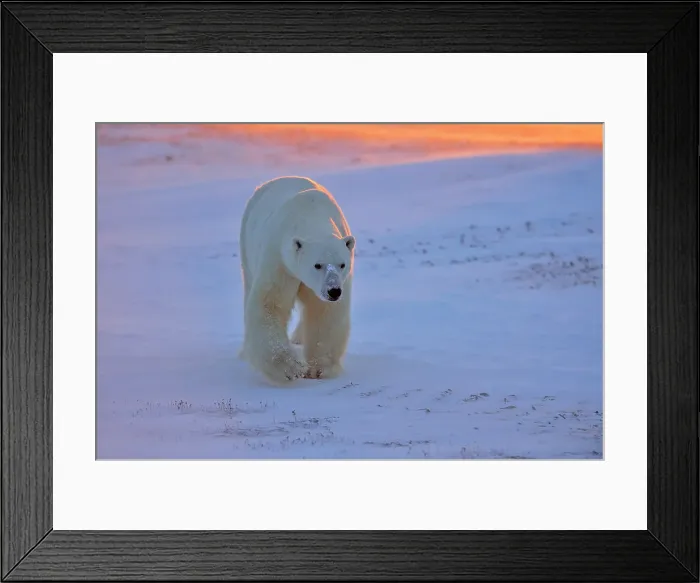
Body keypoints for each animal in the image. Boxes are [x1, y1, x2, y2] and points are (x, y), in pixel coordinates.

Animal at [238, 176, 355, 385]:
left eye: (342, 264)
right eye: (317, 265)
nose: (334, 291)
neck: (310, 213)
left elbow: (324, 312)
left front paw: (319, 368)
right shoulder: (280, 260)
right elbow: (270, 304)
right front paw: (290, 368)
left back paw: (298, 338)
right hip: (247, 243)